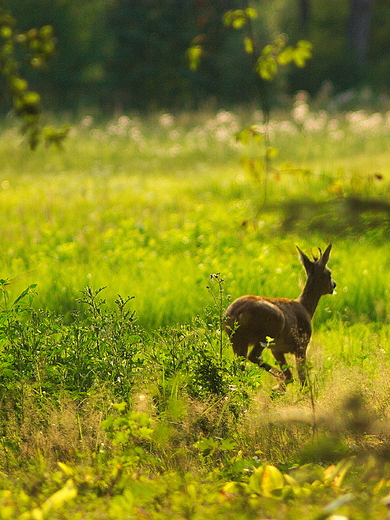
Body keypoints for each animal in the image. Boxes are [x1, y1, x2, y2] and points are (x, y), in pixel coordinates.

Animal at [225, 246, 336, 388]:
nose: (334, 285)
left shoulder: (277, 350)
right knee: (254, 356)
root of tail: (237, 313)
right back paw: (279, 379)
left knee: (240, 371)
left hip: (236, 340)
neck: (305, 307)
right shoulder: (301, 344)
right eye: (329, 273)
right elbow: (303, 378)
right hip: (269, 330)